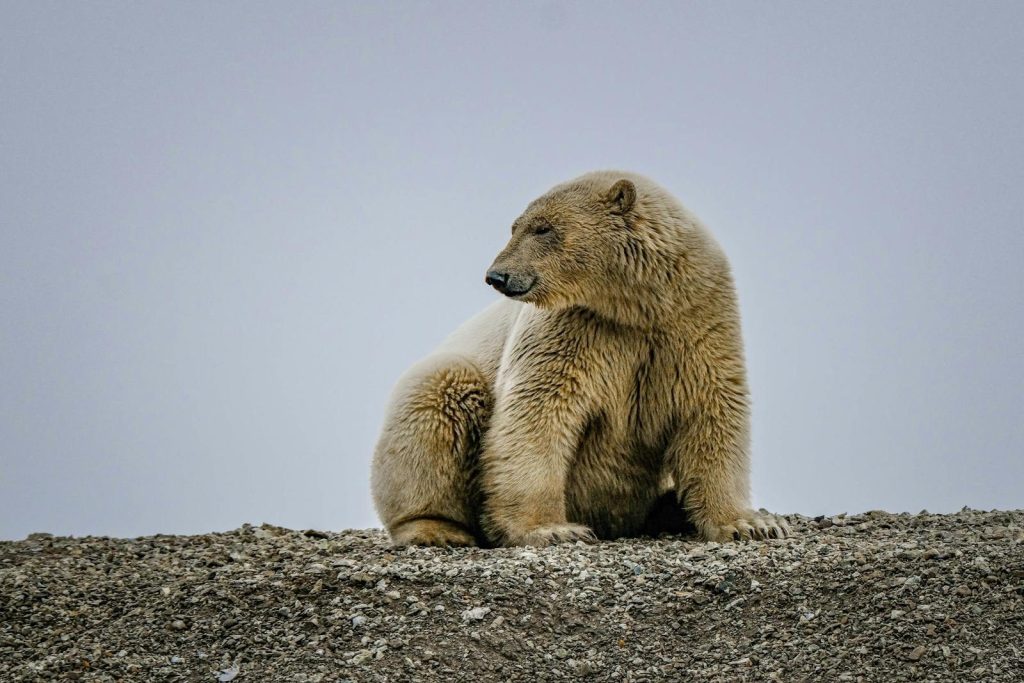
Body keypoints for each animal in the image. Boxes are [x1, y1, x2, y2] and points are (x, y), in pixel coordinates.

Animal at [370, 171, 790, 547]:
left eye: (543, 229)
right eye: (516, 227)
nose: (496, 276)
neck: (636, 306)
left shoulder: (697, 319)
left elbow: (711, 408)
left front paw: (751, 523)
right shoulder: (570, 328)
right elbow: (537, 413)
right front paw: (552, 529)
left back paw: (672, 508)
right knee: (439, 396)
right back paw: (436, 529)